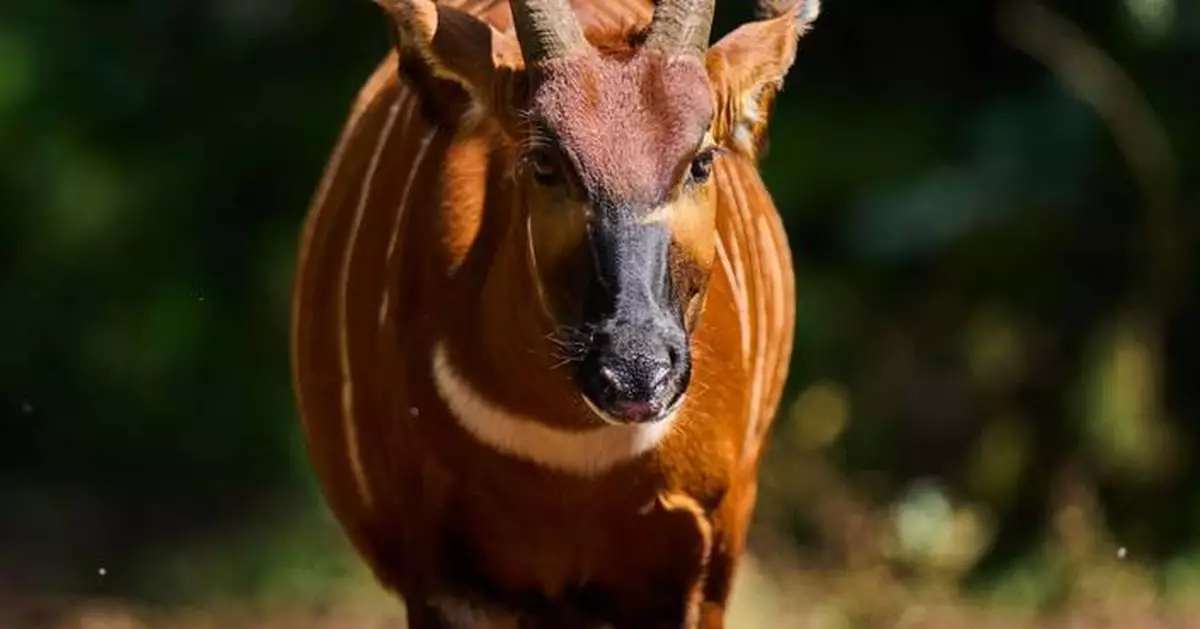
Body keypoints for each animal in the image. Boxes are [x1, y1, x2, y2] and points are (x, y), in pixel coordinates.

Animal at [291, 0, 817, 626]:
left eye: (701, 160)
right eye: (544, 161)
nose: (635, 371)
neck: (573, 450)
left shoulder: (701, 569)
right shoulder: (443, 575)